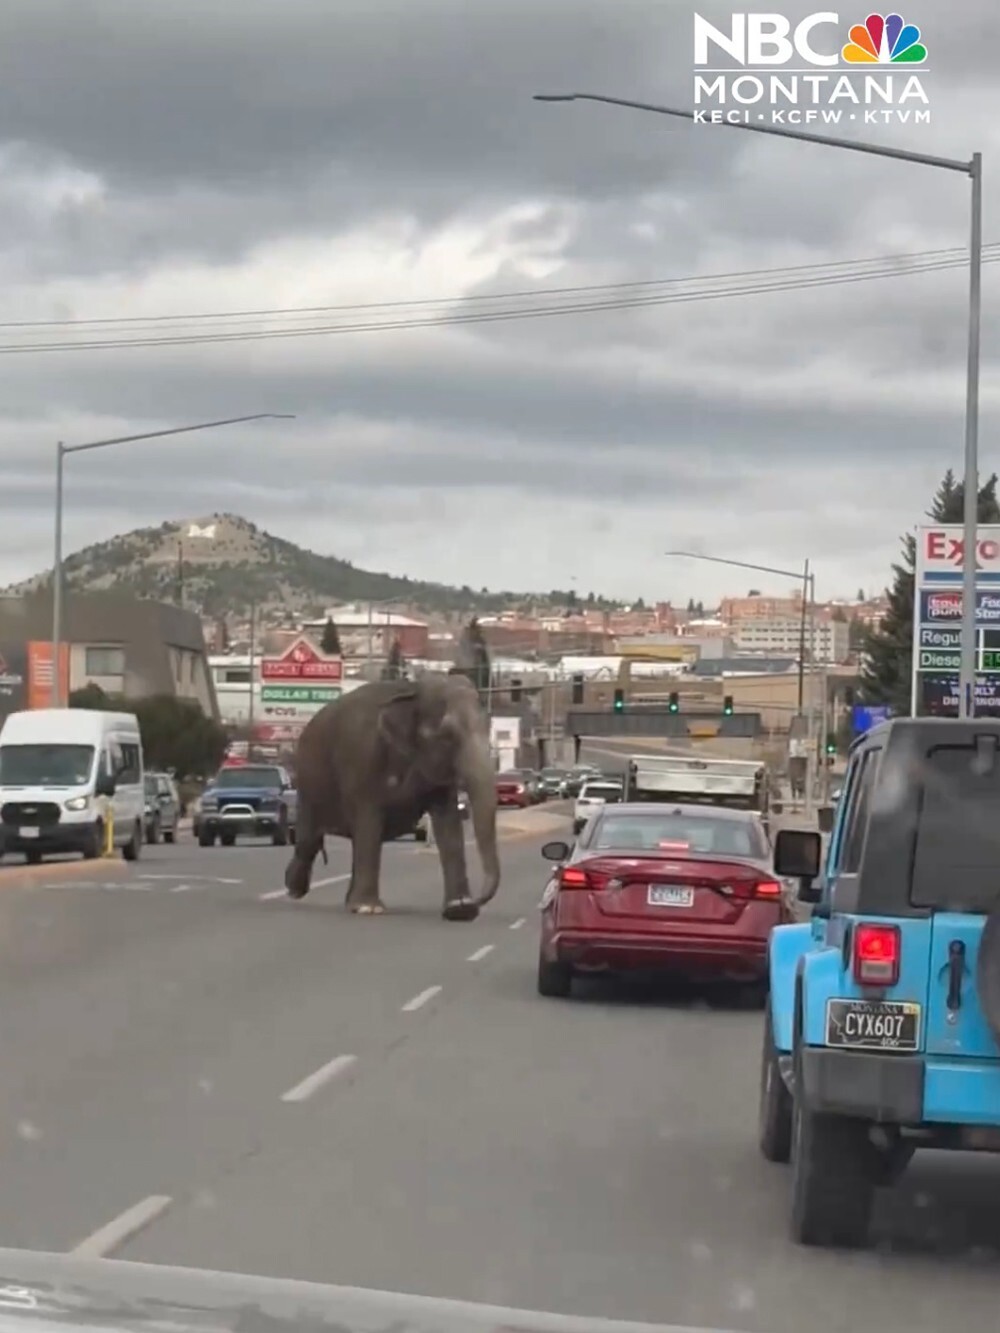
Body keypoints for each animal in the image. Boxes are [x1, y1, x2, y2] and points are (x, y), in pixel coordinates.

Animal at [282, 671, 501, 922]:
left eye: (489, 726)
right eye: (447, 735)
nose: (478, 900)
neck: (413, 689)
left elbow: (448, 823)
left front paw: (460, 909)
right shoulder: (362, 760)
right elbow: (369, 821)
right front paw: (368, 908)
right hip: (309, 782)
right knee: (309, 838)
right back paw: (294, 890)